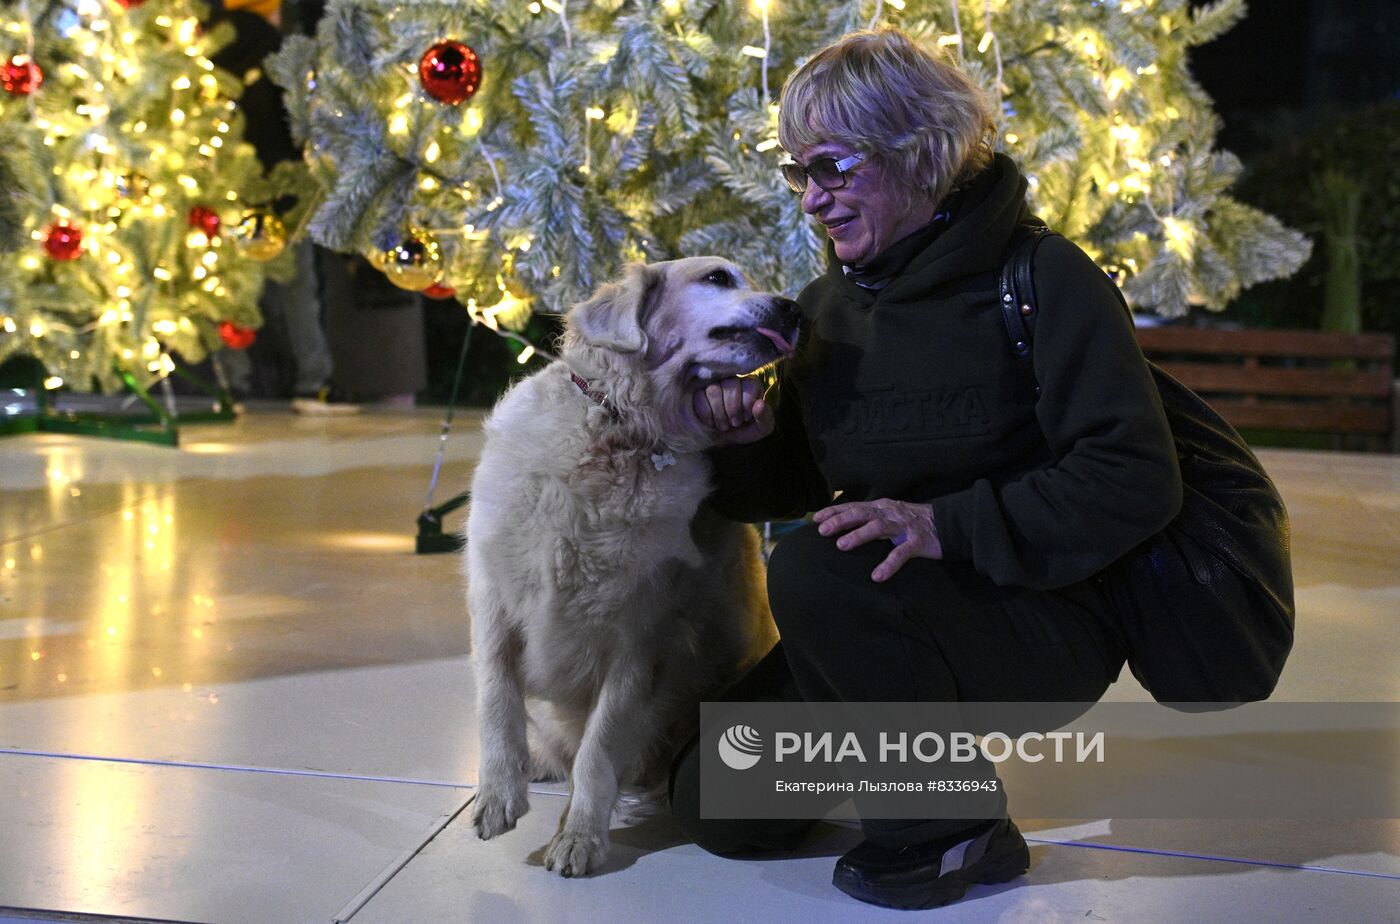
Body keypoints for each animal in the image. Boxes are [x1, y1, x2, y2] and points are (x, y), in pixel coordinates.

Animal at [467, 257, 800, 873]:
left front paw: (579, 836)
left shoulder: (638, 639)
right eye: (718, 278)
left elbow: (598, 750)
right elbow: (496, 703)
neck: (621, 430)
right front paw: (498, 795)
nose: (794, 309)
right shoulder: (492, 599)